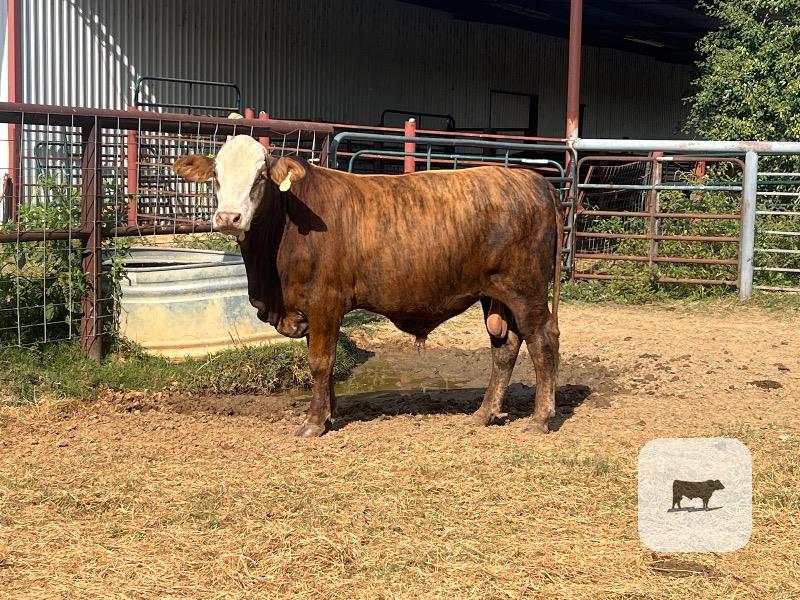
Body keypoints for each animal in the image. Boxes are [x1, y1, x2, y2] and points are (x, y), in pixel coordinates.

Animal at [173, 135, 562, 437]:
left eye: (260, 176)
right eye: (216, 177)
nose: (229, 217)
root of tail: (532, 180)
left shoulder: (325, 301)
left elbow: (320, 361)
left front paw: (313, 422)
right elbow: (325, 364)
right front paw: (328, 414)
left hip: (526, 290)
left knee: (542, 342)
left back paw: (540, 419)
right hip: (493, 295)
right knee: (504, 348)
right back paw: (484, 413)